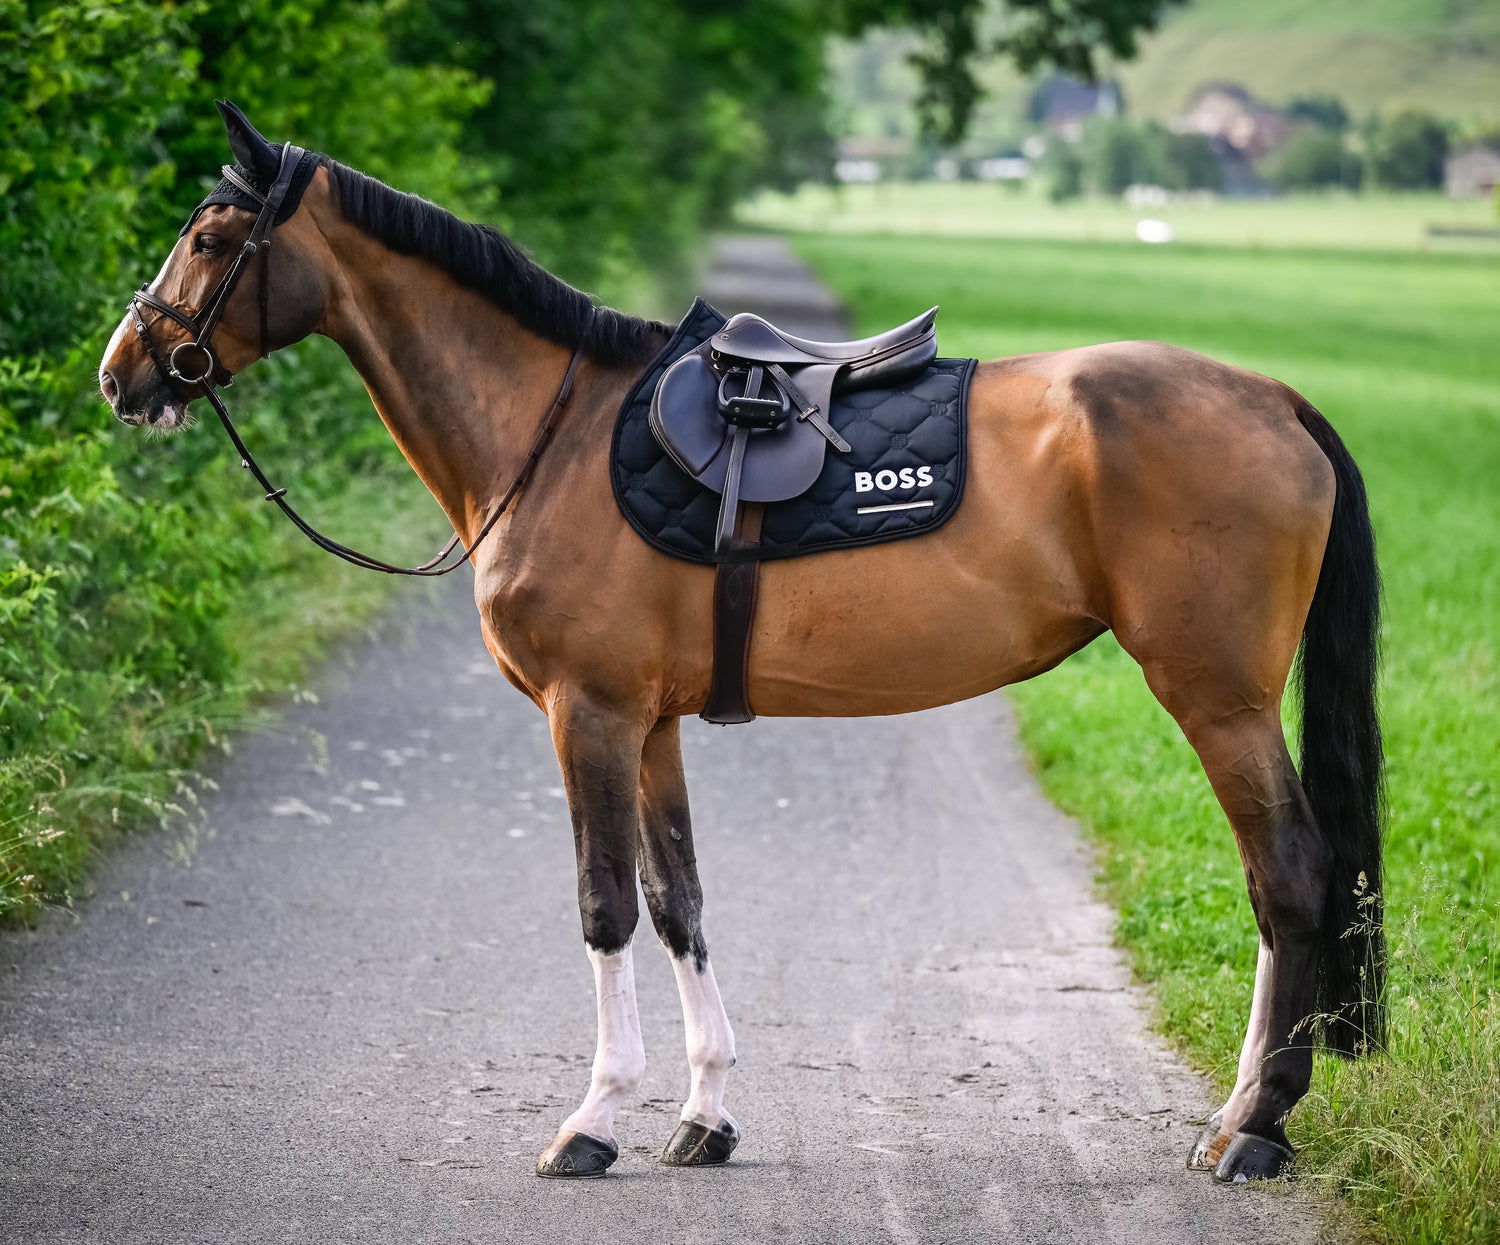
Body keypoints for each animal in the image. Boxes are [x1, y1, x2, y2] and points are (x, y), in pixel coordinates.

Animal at [98, 104, 1384, 1183]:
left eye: (211, 236)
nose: (124, 375)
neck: (554, 436)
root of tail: (1275, 400)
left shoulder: (589, 713)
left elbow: (604, 907)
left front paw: (592, 1120)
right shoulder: (651, 722)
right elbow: (681, 904)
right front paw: (703, 1115)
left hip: (1217, 700)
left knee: (1288, 879)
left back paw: (1254, 1127)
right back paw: (1242, 1117)